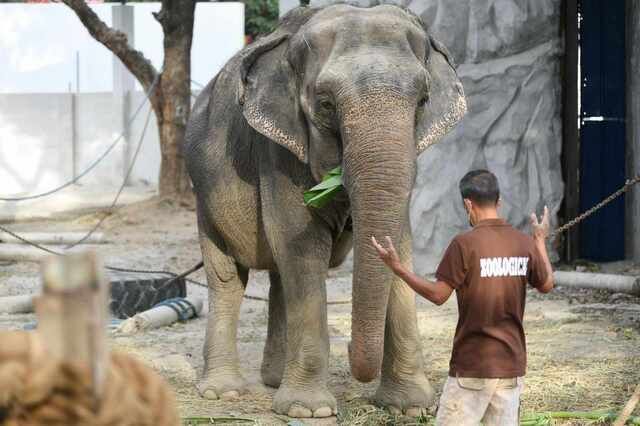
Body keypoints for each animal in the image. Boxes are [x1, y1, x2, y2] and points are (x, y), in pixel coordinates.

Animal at [184, 4, 466, 418]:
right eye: (326, 104)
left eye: (422, 100)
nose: (349, 350)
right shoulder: (278, 153)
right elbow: (303, 247)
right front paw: (308, 411)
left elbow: (400, 244)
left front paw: (410, 408)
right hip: (204, 198)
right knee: (228, 278)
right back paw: (222, 392)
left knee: (279, 276)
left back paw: (273, 380)